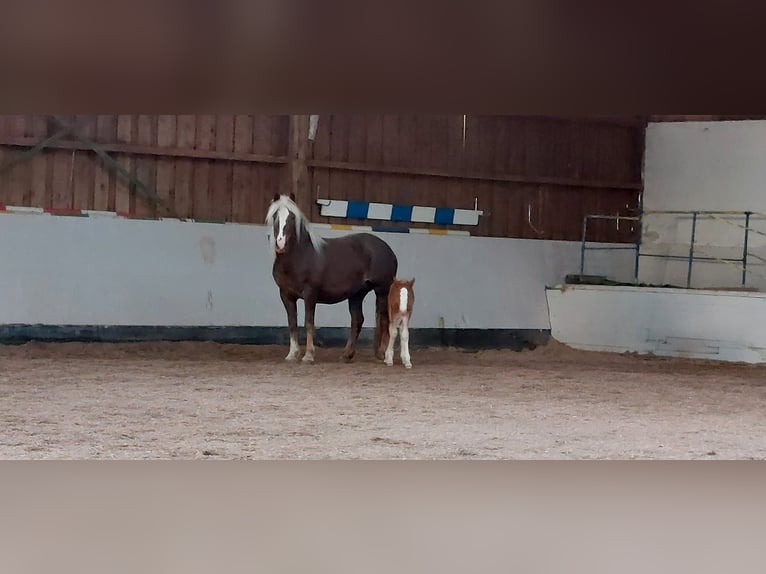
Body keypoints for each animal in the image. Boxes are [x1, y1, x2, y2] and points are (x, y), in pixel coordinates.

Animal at [266, 194, 400, 364]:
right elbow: (292, 323)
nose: (280, 244)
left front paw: (308, 355)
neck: (299, 256)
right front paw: (292, 354)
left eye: (292, 217)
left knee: (384, 319)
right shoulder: (286, 295)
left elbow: (308, 322)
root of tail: (388, 250)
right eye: (275, 217)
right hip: (357, 294)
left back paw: (383, 354)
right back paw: (347, 354)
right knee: (357, 320)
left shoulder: (310, 294)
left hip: (382, 290)